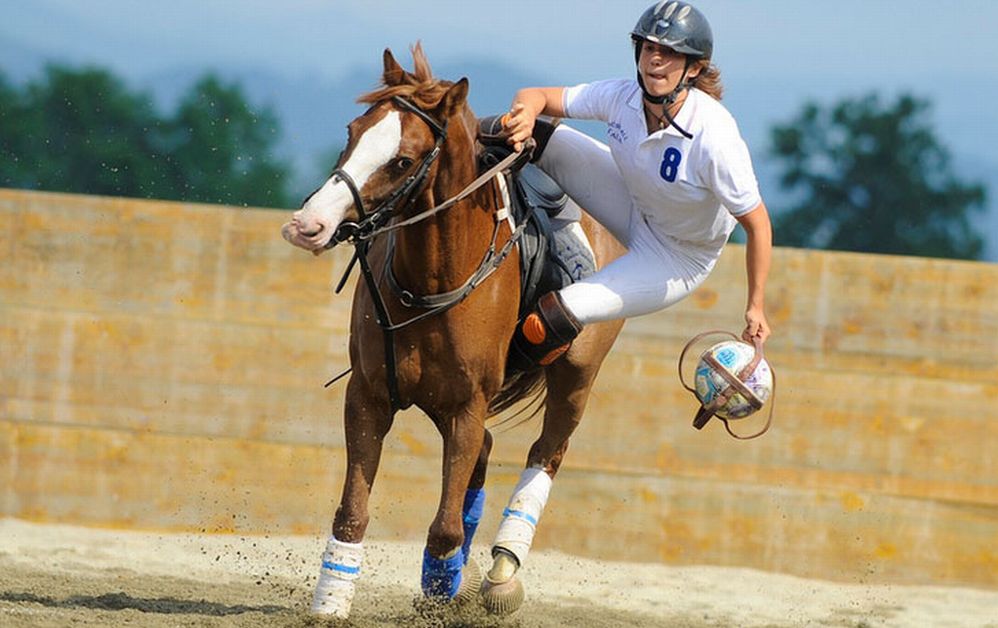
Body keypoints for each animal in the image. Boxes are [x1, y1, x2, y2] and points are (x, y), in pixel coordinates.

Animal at [281, 44, 624, 619]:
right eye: (352, 131)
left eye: (402, 160)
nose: (307, 226)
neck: (433, 280)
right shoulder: (369, 396)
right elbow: (353, 512)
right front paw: (331, 604)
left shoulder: (467, 405)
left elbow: (443, 528)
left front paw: (441, 593)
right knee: (483, 455)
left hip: (575, 377)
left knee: (545, 454)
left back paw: (502, 574)